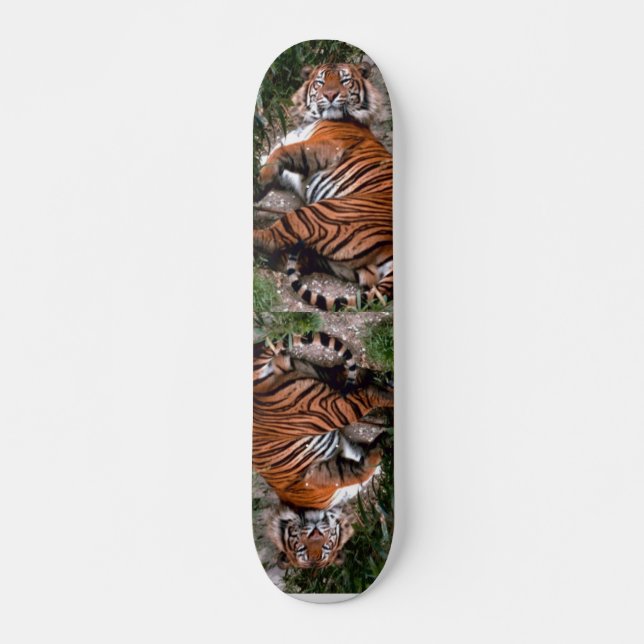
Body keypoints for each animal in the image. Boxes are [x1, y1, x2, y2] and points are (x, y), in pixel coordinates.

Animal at [253, 62, 393, 311]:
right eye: (320, 82)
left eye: (345, 80)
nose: (330, 95)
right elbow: (265, 157)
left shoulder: (326, 146)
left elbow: (280, 153)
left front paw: (259, 182)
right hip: (340, 263)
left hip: (318, 213)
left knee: (271, 239)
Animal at [253, 331, 393, 568]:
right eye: (303, 550)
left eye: (325, 547)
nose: (317, 533)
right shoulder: (326, 470)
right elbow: (360, 468)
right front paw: (382, 446)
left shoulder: (315, 476)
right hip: (314, 380)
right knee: (355, 378)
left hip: (324, 407)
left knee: (367, 391)